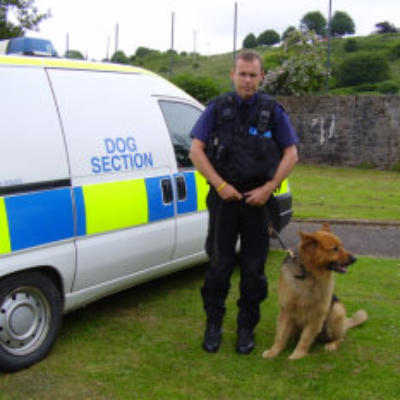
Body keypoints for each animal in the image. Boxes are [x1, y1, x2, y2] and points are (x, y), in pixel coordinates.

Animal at [263, 224, 368, 360]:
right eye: (335, 249)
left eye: (341, 246)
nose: (355, 258)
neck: (308, 274)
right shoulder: (286, 311)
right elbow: (281, 335)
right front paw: (274, 351)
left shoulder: (316, 316)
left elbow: (305, 338)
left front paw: (298, 354)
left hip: (336, 311)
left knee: (341, 338)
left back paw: (332, 344)